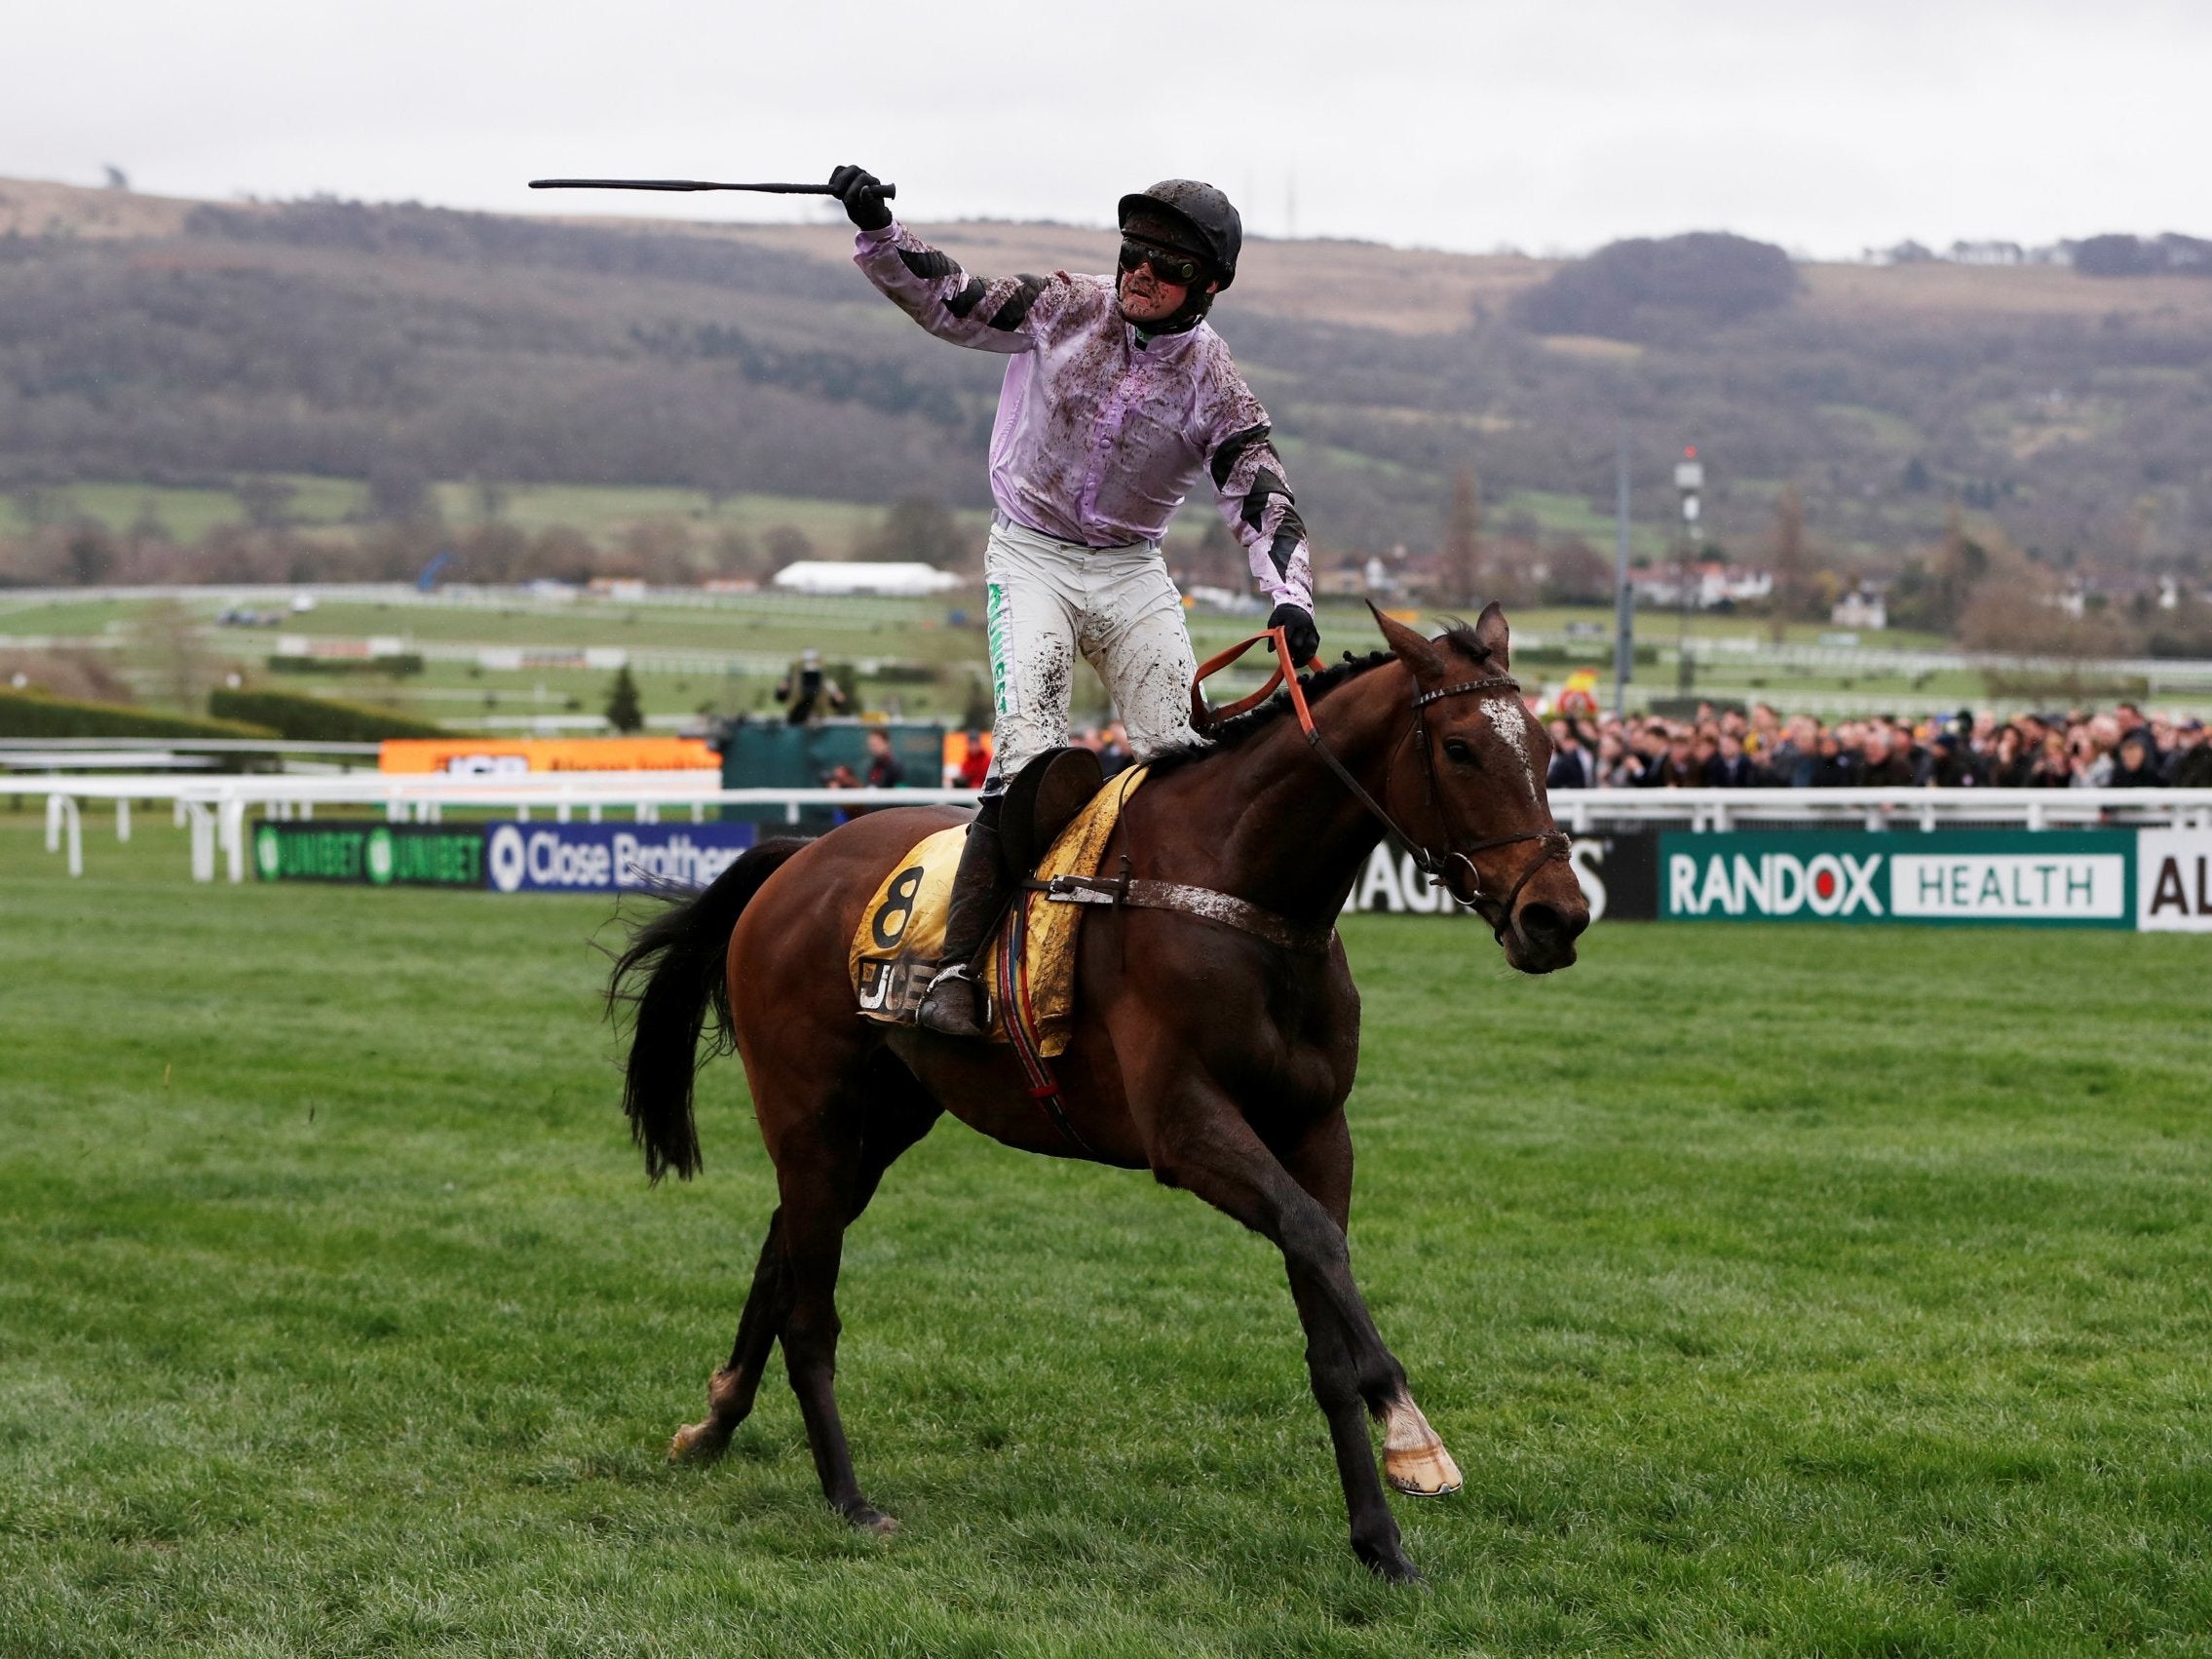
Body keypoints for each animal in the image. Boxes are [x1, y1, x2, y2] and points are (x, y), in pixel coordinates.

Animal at [610, 601, 1592, 1583]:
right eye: (1460, 748)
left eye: (1546, 747)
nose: (1558, 916)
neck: (1237, 888)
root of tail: (800, 853)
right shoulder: (1185, 1129)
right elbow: (1314, 1239)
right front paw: (1414, 1438)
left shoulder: (1316, 1129)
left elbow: (1324, 1299)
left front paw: (1379, 1539)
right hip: (807, 1109)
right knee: (810, 1308)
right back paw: (848, 1498)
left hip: (882, 1118)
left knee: (783, 1247)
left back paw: (715, 1421)